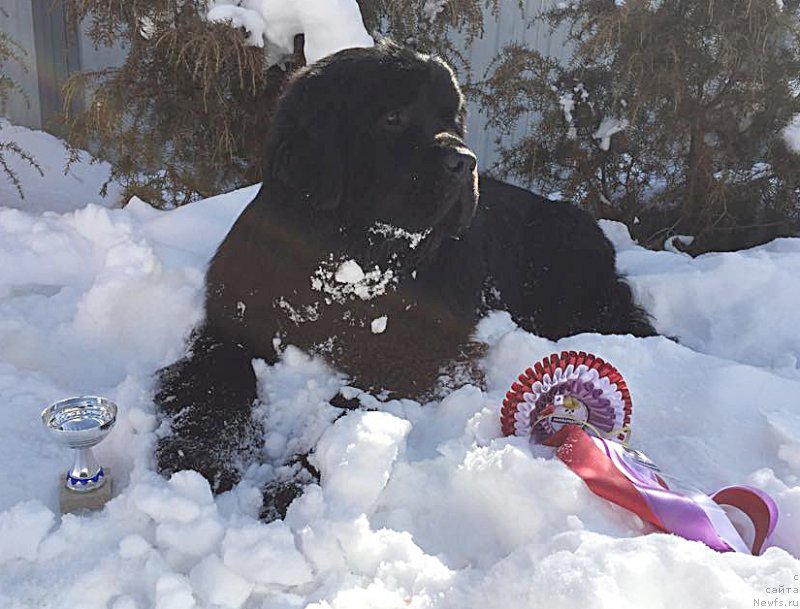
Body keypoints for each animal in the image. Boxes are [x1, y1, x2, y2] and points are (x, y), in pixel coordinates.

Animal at [153, 40, 652, 492]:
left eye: (454, 121)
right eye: (393, 118)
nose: (464, 161)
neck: (346, 262)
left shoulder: (414, 353)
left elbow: (347, 407)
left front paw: (294, 482)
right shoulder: (233, 321)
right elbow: (215, 375)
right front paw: (196, 451)